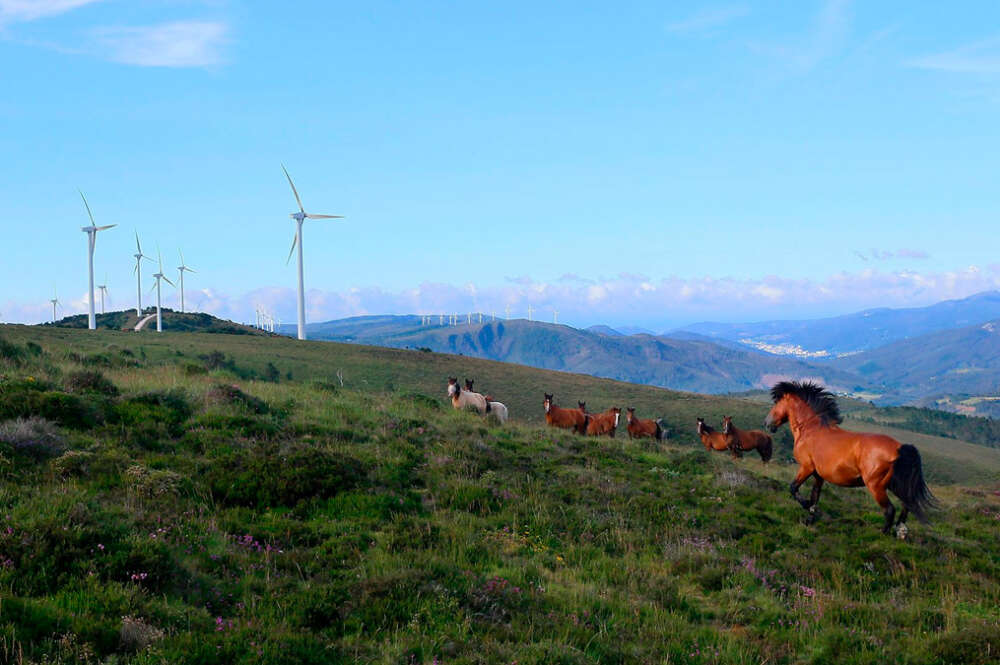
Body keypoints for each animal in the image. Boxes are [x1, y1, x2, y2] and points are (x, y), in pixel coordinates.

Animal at [764, 382, 936, 532]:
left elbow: (794, 488)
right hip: (894, 484)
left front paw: (808, 508)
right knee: (906, 505)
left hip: (876, 486)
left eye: (777, 402)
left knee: (889, 510)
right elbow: (815, 496)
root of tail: (899, 448)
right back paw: (901, 531)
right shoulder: (818, 475)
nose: (767, 423)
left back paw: (884, 534)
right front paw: (810, 519)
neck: (811, 430)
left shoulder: (807, 467)